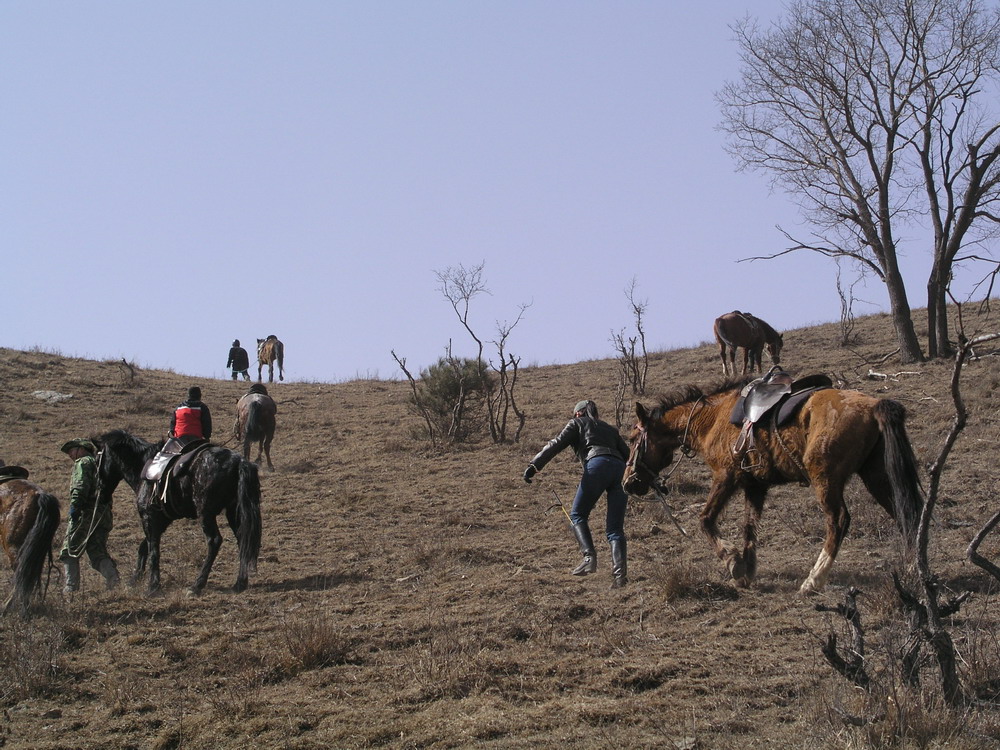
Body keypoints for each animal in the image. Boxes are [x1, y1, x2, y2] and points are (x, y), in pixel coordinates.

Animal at [94, 432, 262, 596]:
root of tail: (239, 462)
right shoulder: (162, 520)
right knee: (243, 539)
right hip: (234, 511)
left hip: (206, 514)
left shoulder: (149, 517)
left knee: (214, 540)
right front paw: (135, 578)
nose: (100, 493)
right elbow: (144, 547)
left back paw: (197, 585)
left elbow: (153, 550)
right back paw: (240, 583)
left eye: (97, 460)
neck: (143, 467)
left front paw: (152, 586)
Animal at [624, 378, 920, 596]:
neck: (713, 418)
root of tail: (874, 405)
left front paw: (733, 563)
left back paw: (813, 580)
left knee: (838, 520)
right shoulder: (755, 485)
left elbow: (706, 519)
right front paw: (746, 570)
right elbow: (749, 526)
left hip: (825, 479)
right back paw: (913, 570)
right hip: (877, 476)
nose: (628, 483)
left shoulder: (726, 476)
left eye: (631, 438)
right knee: (905, 513)